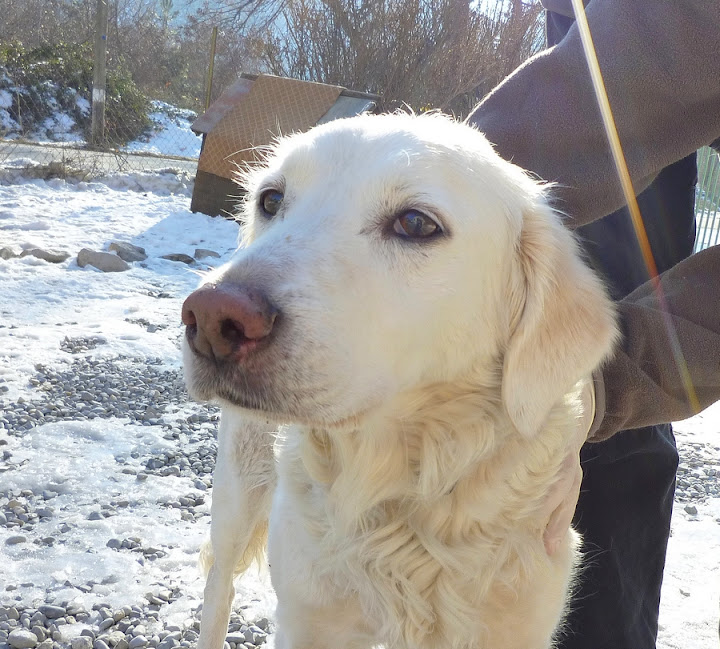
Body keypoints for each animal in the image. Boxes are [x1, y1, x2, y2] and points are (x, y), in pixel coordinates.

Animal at [183, 114, 616, 644]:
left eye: (415, 224)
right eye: (271, 199)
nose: (211, 316)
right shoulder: (312, 619)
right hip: (237, 496)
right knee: (220, 586)